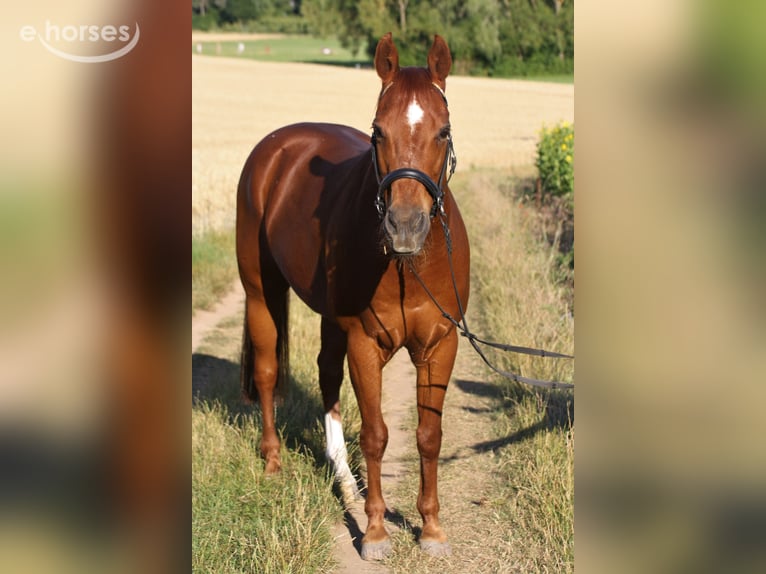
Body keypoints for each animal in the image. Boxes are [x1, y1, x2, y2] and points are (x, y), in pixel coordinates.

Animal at [236, 32, 469, 560]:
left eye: (443, 132)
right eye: (377, 133)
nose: (404, 226)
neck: (408, 267)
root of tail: (276, 149)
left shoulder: (440, 344)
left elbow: (429, 434)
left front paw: (432, 529)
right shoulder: (366, 343)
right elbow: (377, 434)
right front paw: (377, 531)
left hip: (329, 316)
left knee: (326, 374)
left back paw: (344, 480)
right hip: (261, 293)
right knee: (266, 372)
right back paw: (273, 462)